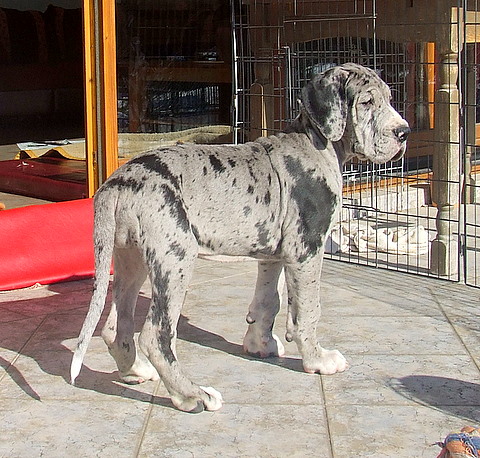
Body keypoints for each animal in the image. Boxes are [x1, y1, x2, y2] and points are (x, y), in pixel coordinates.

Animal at [71, 63, 410, 412]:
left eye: (388, 98)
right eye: (366, 102)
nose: (404, 133)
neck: (317, 143)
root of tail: (118, 183)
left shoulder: (273, 256)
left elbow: (268, 301)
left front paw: (260, 344)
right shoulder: (306, 250)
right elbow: (307, 311)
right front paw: (318, 359)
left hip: (131, 258)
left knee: (115, 325)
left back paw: (135, 371)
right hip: (175, 259)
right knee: (155, 334)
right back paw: (191, 394)